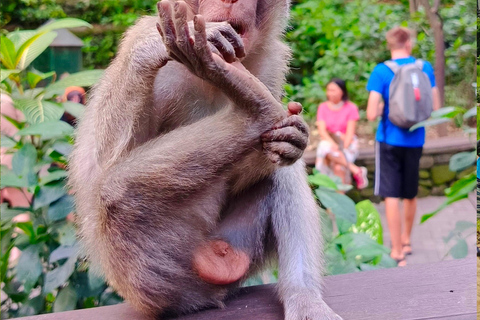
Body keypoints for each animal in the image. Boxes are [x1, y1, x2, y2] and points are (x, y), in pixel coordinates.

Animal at [68, 0, 342, 320]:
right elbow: (97, 165)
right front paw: (151, 47)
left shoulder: (272, 61)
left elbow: (265, 160)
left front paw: (292, 140)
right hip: (150, 275)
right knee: (112, 189)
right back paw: (253, 111)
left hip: (237, 245)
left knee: (281, 173)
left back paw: (304, 297)